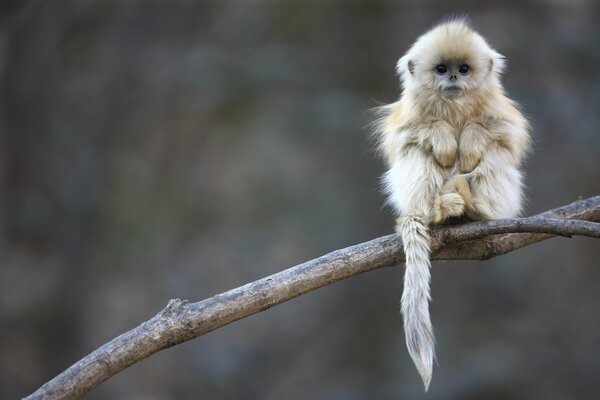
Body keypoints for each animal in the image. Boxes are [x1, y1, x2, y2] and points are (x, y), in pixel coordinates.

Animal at [372, 18, 532, 390]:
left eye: (464, 69)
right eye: (441, 69)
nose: (454, 80)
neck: (454, 107)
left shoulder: (499, 110)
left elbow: (507, 135)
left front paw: (470, 140)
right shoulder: (408, 114)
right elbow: (405, 137)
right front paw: (444, 138)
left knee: (496, 152)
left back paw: (474, 208)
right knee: (415, 151)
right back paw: (439, 210)